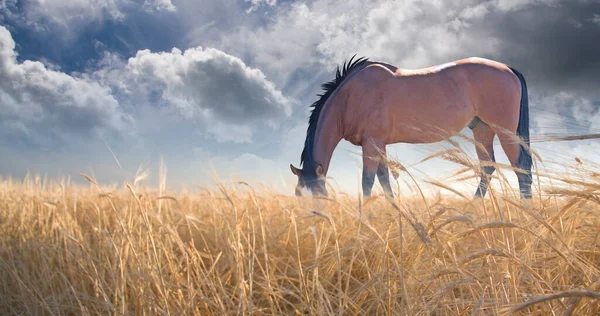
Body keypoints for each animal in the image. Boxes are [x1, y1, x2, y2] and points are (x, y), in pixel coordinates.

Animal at [288, 55, 532, 200]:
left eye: (319, 196)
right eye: (298, 194)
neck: (351, 97)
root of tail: (508, 68)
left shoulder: (371, 144)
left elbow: (367, 181)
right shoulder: (379, 145)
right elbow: (384, 179)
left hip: (504, 132)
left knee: (521, 166)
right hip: (483, 130)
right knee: (487, 168)